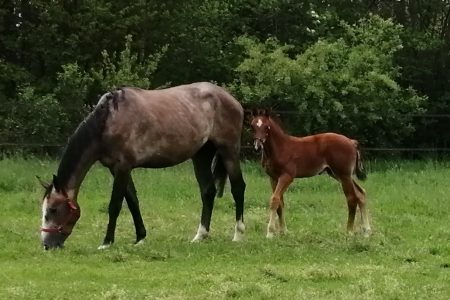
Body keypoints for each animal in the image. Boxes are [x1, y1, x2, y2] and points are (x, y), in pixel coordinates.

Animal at [39, 81, 246, 248]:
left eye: (53, 210)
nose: (47, 245)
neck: (108, 121)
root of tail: (231, 99)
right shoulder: (117, 169)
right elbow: (132, 201)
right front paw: (140, 238)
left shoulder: (122, 167)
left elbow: (115, 204)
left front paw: (107, 242)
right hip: (201, 155)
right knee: (208, 191)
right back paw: (200, 236)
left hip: (229, 151)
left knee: (238, 188)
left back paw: (238, 235)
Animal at [248, 110, 370, 239]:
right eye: (252, 126)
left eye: (267, 127)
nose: (257, 147)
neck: (280, 148)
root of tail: (352, 142)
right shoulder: (273, 178)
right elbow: (280, 203)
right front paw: (283, 231)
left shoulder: (287, 177)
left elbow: (275, 200)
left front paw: (270, 233)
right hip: (338, 174)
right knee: (361, 193)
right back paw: (366, 231)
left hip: (344, 175)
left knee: (352, 198)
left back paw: (349, 231)